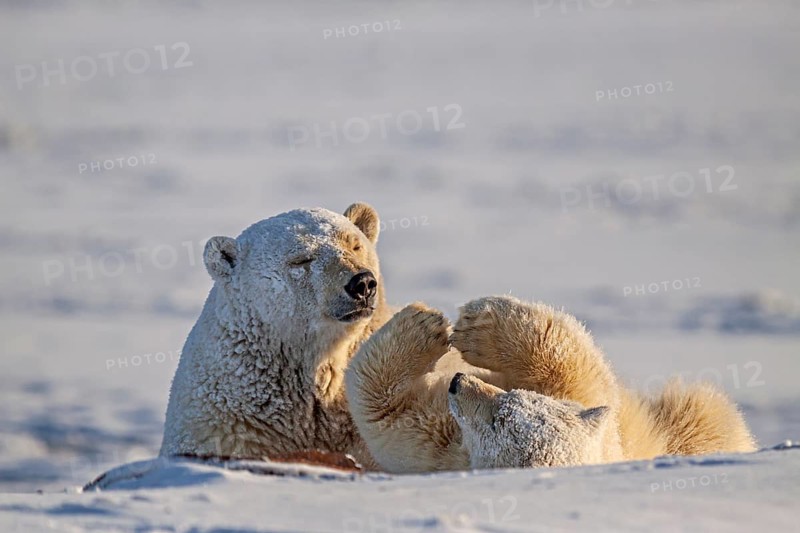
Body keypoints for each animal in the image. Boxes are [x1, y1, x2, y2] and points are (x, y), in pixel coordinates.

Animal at [345, 296, 756, 473]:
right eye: (513, 395)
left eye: (498, 420)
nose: (459, 381)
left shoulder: (445, 446)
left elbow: (386, 410)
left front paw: (430, 323)